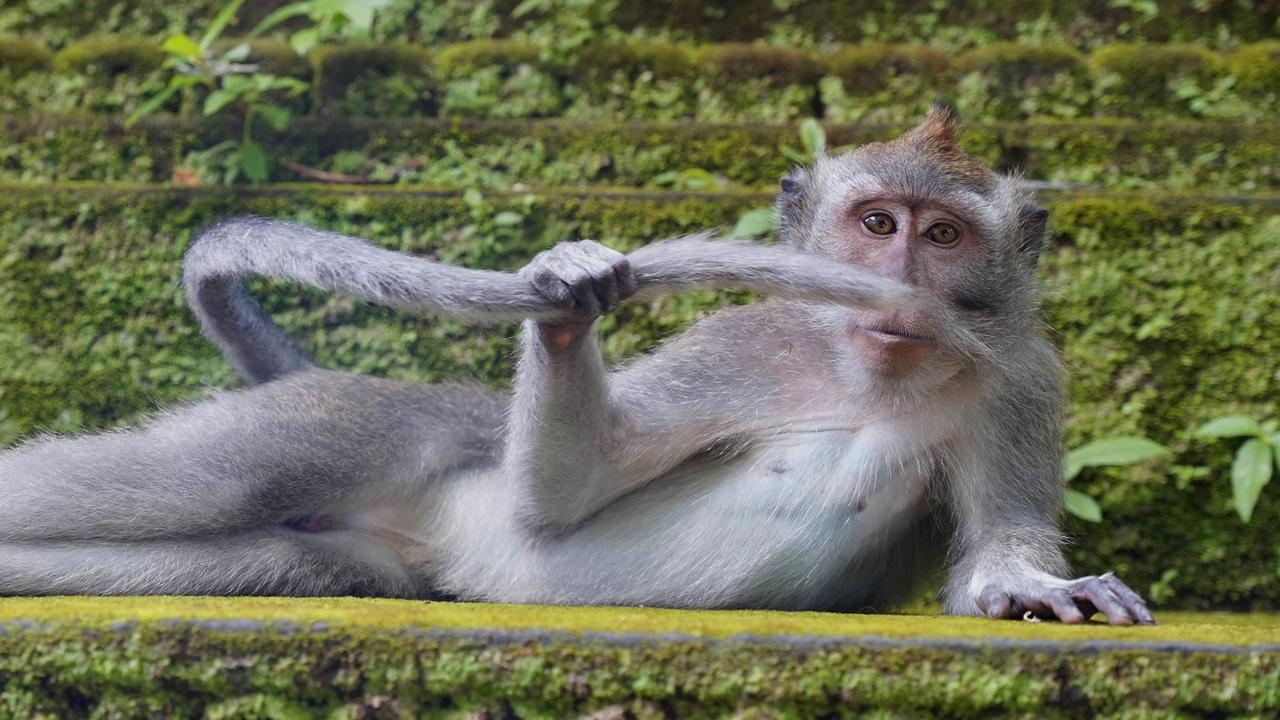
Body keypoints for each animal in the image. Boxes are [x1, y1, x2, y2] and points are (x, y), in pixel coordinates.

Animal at [0, 105, 1157, 622]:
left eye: (944, 235)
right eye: (877, 223)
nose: (906, 280)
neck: (874, 377)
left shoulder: (1019, 377)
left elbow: (992, 556)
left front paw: (1029, 584)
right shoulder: (741, 346)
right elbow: (558, 501)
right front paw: (567, 296)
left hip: (365, 561)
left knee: (267, 553)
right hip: (350, 418)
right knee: (220, 476)